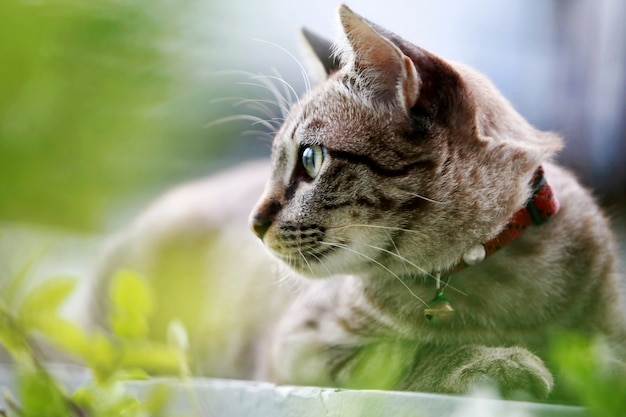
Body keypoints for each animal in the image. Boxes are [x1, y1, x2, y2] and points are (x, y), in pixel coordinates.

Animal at [88, 2, 624, 400]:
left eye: (311, 159)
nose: (254, 223)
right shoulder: (303, 344)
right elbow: (408, 353)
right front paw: (503, 362)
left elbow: (604, 358)